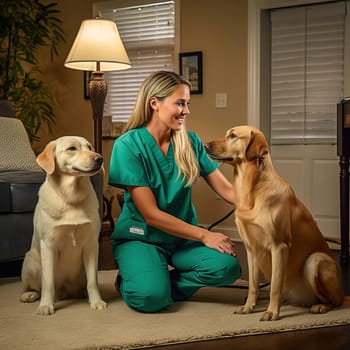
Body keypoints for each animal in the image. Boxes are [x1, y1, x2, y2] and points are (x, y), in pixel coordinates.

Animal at [20, 136, 107, 314]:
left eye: (90, 147)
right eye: (72, 148)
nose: (99, 159)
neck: (71, 196)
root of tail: (64, 292)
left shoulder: (91, 244)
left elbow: (93, 281)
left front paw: (96, 301)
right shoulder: (48, 245)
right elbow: (48, 283)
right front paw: (45, 305)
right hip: (31, 263)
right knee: (36, 287)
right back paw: (30, 295)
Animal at [206, 125, 344, 320]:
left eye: (233, 136)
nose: (205, 145)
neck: (251, 189)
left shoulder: (279, 246)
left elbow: (276, 286)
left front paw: (271, 312)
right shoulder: (251, 248)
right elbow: (253, 285)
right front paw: (248, 307)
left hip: (315, 260)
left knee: (335, 300)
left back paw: (320, 306)